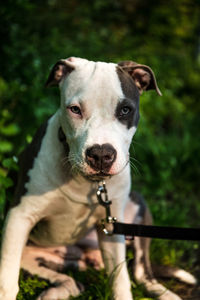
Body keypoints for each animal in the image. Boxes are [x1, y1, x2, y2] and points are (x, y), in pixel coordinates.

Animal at [0, 57, 196, 298]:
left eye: (125, 110)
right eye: (75, 109)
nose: (101, 154)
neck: (84, 182)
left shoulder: (112, 231)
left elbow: (121, 281)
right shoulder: (19, 217)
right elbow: (7, 279)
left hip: (136, 208)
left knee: (142, 272)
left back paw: (165, 293)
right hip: (32, 258)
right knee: (72, 282)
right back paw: (54, 292)